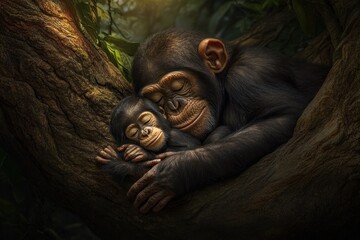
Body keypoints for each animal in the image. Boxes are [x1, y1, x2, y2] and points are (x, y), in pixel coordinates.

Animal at [100, 29, 328, 213]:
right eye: (156, 99)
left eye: (177, 85)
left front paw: (173, 170)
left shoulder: (251, 74)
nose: (174, 106)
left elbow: (282, 116)